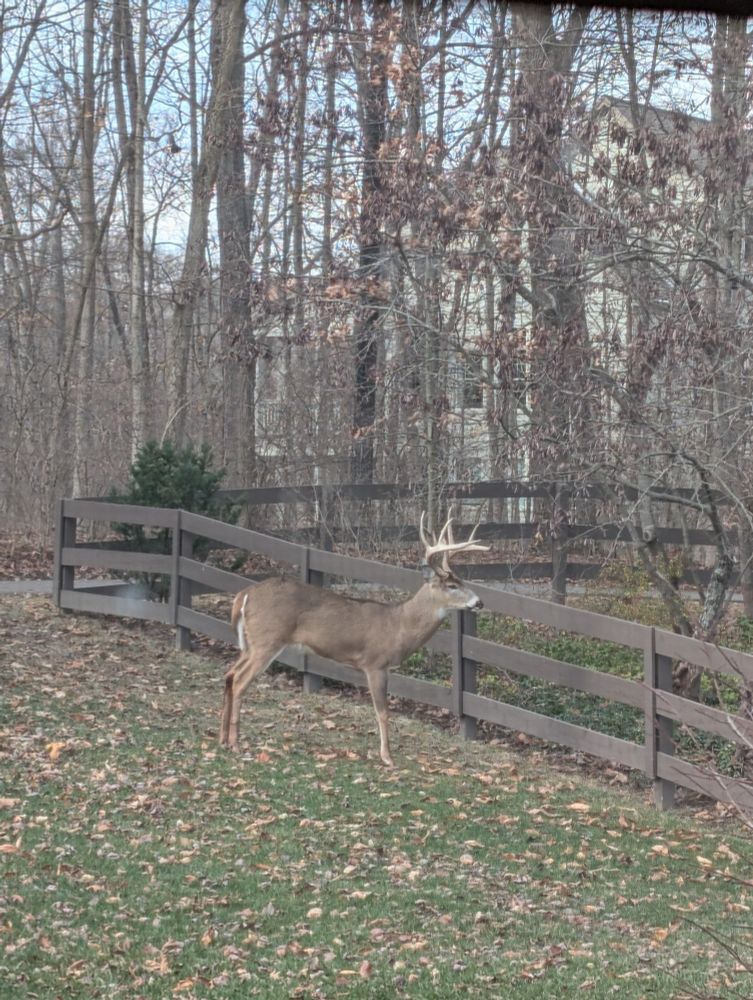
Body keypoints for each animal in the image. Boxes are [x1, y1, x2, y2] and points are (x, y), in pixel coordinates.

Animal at [219, 511, 489, 767]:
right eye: (452, 585)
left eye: (461, 581)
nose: (479, 602)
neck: (399, 626)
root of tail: (244, 595)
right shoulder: (375, 664)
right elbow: (382, 712)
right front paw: (387, 757)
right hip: (267, 640)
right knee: (241, 680)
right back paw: (235, 743)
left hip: (250, 643)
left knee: (230, 674)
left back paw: (223, 738)